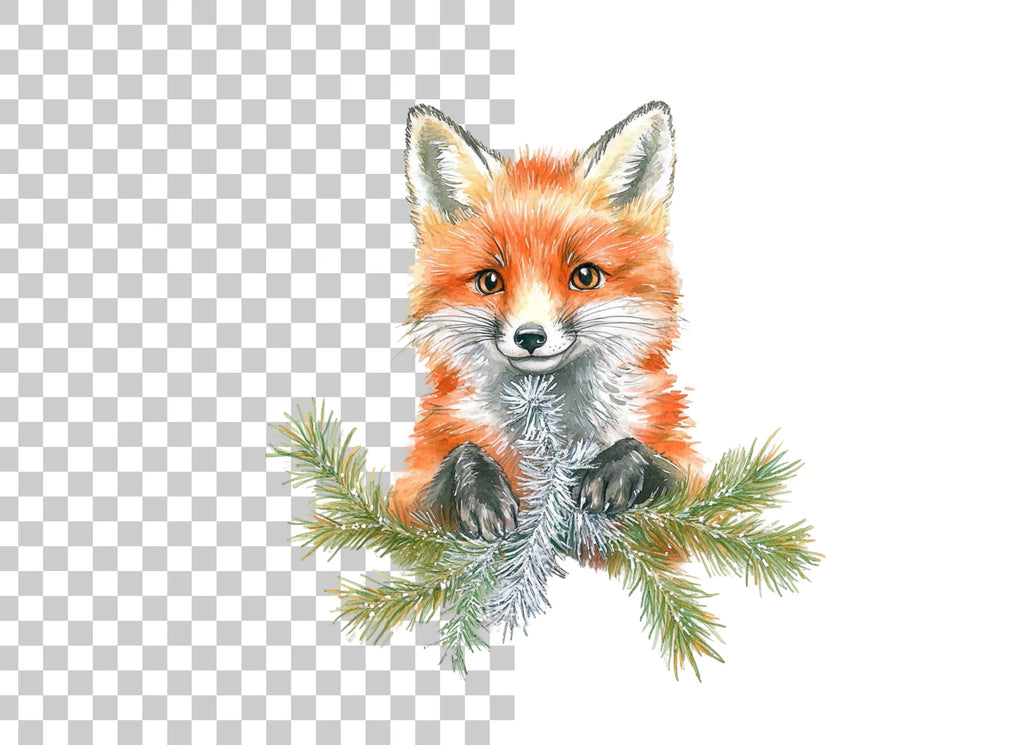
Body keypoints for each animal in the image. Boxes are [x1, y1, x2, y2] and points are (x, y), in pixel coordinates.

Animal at [391, 101, 702, 541]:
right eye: (489, 281)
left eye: (585, 276)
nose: (530, 337)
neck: (549, 432)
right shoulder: (408, 494)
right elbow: (453, 463)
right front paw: (482, 489)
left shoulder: (690, 474)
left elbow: (669, 471)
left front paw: (618, 466)